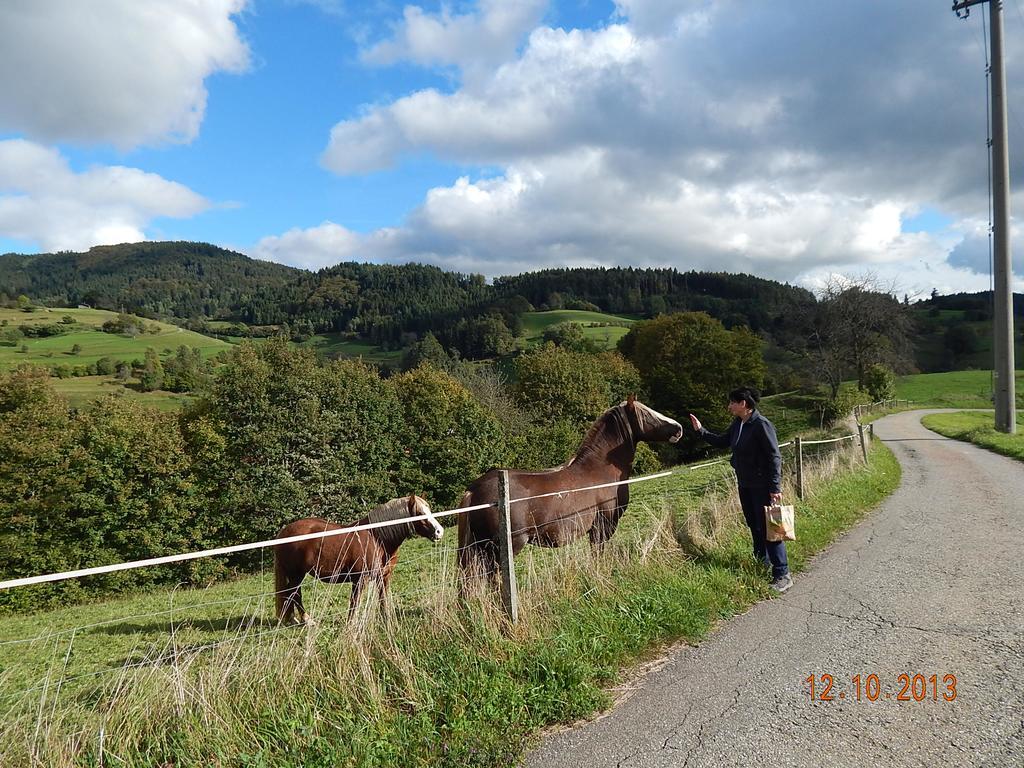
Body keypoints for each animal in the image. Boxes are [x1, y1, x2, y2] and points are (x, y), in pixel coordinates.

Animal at [274, 493, 442, 626]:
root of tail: (284, 532)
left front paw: (386, 619)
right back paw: (306, 620)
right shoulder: (360, 580)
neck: (377, 538)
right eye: (419, 513)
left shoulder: (384, 577)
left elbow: (383, 599)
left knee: (292, 594)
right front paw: (352, 624)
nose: (439, 531)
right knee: (294, 593)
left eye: (429, 509)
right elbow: (354, 603)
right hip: (296, 574)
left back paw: (293, 619)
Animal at [458, 399, 684, 585]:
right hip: (502, 549)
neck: (599, 470)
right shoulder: (602, 527)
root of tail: (473, 490)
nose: (679, 428)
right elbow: (598, 556)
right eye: (647, 414)